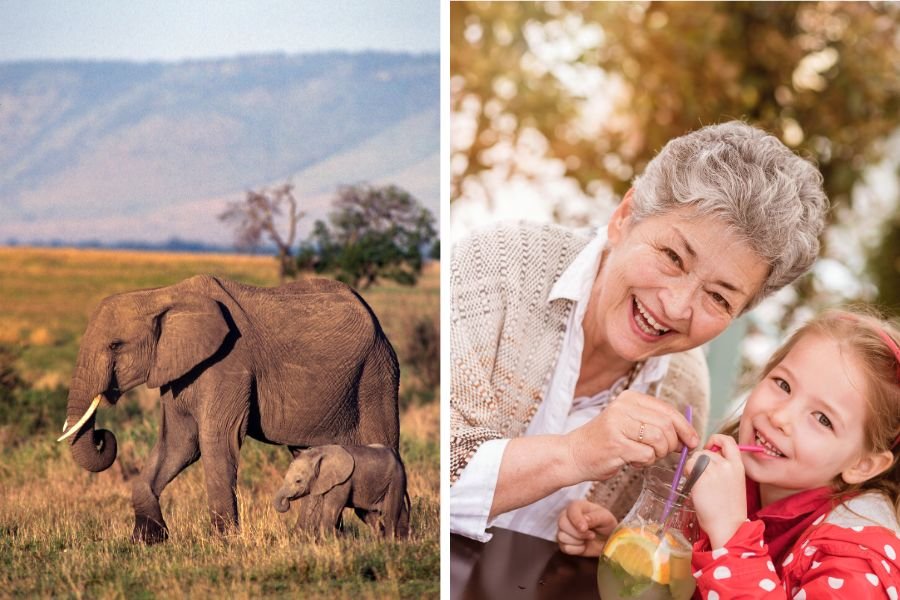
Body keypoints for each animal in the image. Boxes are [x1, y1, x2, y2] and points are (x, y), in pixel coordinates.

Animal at [273, 444, 410, 539]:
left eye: (298, 481)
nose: (286, 502)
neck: (318, 454)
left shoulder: (342, 482)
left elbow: (331, 510)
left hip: (396, 479)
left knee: (390, 515)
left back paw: (389, 543)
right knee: (368, 515)